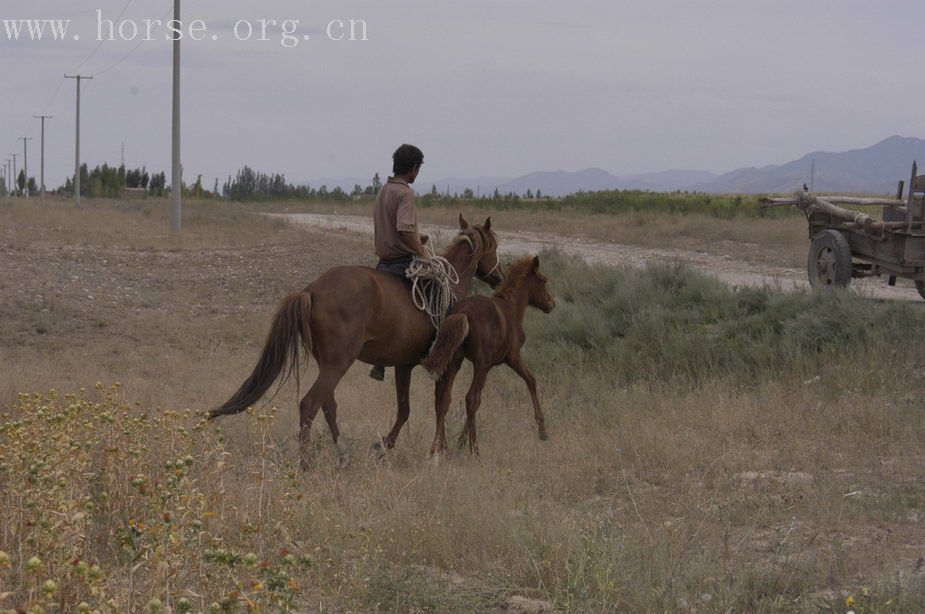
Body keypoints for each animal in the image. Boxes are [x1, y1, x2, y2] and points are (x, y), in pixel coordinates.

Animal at [210, 217, 502, 466]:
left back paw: (343, 454)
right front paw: (437, 452)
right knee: (309, 404)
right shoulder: (450, 363)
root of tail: (311, 291)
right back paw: (305, 463)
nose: (499, 277)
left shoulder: (403, 365)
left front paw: (386, 447)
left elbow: (405, 409)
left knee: (328, 405)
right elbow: (442, 403)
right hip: (338, 364)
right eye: (495, 246)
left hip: (329, 364)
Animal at [424, 256, 556, 458]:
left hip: (456, 361)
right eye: (543, 280)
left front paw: (460, 441)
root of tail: (464, 313)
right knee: (471, 399)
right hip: (481, 365)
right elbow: (531, 380)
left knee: (445, 398)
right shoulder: (512, 358)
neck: (512, 308)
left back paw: (438, 447)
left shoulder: (490, 365)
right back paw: (475, 449)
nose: (551, 303)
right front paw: (542, 430)